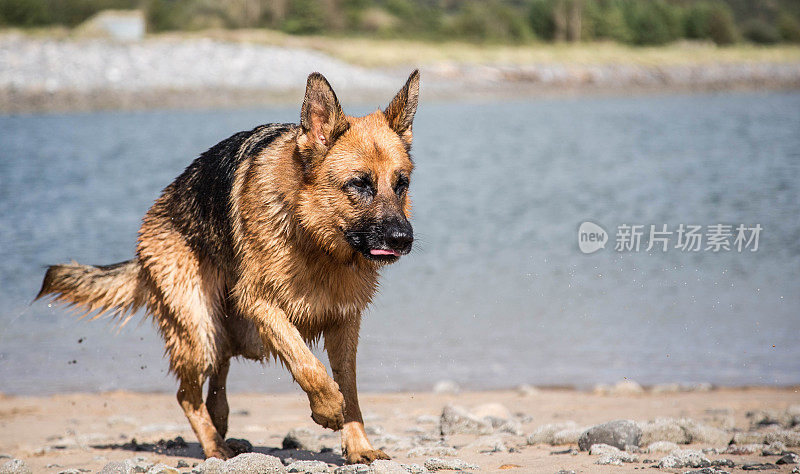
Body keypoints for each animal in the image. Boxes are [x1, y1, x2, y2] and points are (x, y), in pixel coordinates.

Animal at [35, 70, 422, 462]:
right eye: (360, 184)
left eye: (401, 184)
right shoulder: (261, 304)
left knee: (216, 382)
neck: (315, 240)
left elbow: (351, 387)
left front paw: (359, 445)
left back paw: (223, 430)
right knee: (186, 394)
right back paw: (214, 447)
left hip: (223, 330)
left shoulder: (344, 321)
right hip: (199, 331)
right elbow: (306, 363)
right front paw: (328, 407)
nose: (403, 239)